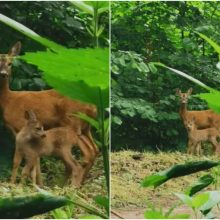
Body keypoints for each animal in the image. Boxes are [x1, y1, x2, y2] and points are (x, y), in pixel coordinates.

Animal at [0, 41, 98, 186]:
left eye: (10, 63)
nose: (4, 74)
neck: (8, 100)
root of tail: (93, 105)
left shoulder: (18, 126)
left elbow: (21, 161)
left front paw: (20, 184)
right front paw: (37, 184)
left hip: (72, 122)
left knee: (87, 153)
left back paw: (71, 185)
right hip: (86, 127)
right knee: (95, 149)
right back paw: (76, 184)